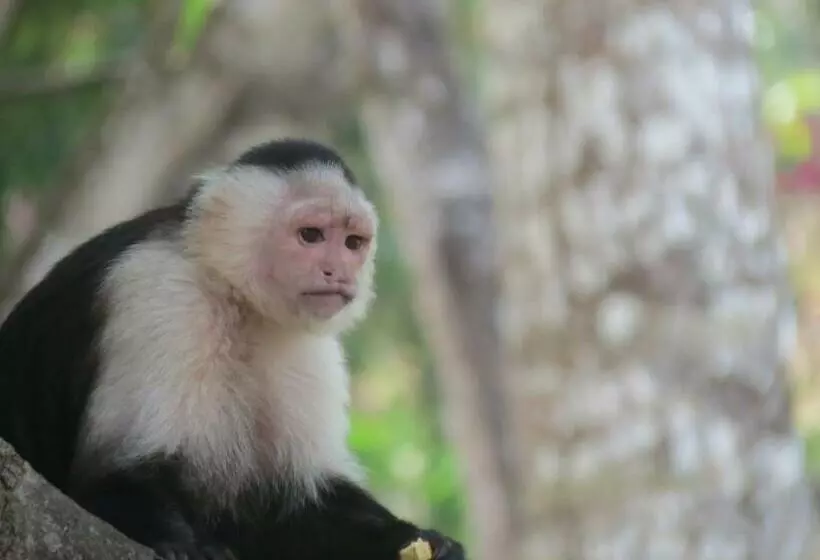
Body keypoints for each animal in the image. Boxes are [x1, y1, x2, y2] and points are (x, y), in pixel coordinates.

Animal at [0, 139, 466, 560]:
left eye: (353, 242)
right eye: (311, 235)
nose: (337, 272)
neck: (234, 295)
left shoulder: (306, 350)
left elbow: (295, 508)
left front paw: (418, 540)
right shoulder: (156, 293)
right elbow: (112, 475)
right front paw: (181, 543)